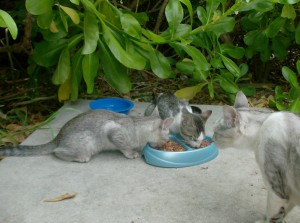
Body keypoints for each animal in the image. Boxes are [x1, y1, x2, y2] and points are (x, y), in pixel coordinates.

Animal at [0, 109, 173, 162]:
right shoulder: (113, 132)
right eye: (167, 138)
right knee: (57, 152)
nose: (165, 144)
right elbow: (124, 147)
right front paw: (132, 153)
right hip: (86, 144)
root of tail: (57, 138)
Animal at [213, 91, 300, 222]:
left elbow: (272, 217)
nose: (212, 138)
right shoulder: (291, 195)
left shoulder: (277, 193)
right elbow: (281, 214)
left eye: (215, 131)